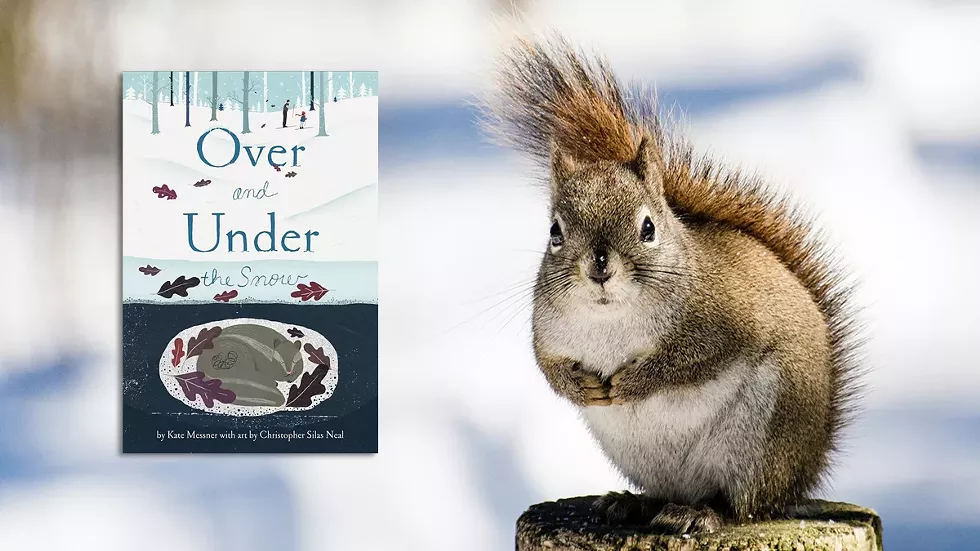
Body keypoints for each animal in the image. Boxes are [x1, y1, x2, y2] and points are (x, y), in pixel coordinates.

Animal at [481, 33, 865, 535]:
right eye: (555, 231)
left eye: (648, 228)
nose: (599, 266)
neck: (610, 318)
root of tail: (803, 472)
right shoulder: (547, 332)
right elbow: (547, 366)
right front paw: (580, 387)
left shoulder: (724, 324)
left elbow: (690, 361)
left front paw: (633, 382)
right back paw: (632, 503)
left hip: (763, 438)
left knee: (742, 504)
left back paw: (701, 512)